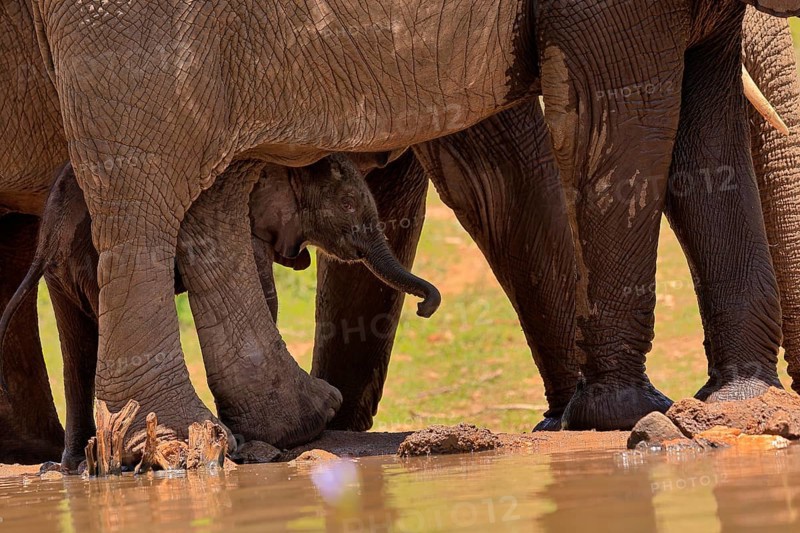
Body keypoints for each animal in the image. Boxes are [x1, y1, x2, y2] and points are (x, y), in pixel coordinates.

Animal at [0, 152, 440, 468]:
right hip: (86, 254)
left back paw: (71, 464)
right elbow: (268, 295)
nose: (425, 307)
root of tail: (51, 227)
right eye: (347, 204)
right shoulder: (252, 223)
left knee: (76, 349)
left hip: (60, 268)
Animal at [21, 0, 800, 442]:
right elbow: (592, 130)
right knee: (144, 187)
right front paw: (619, 414)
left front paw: (737, 407)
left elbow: (704, 138)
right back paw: (177, 445)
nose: (431, 309)